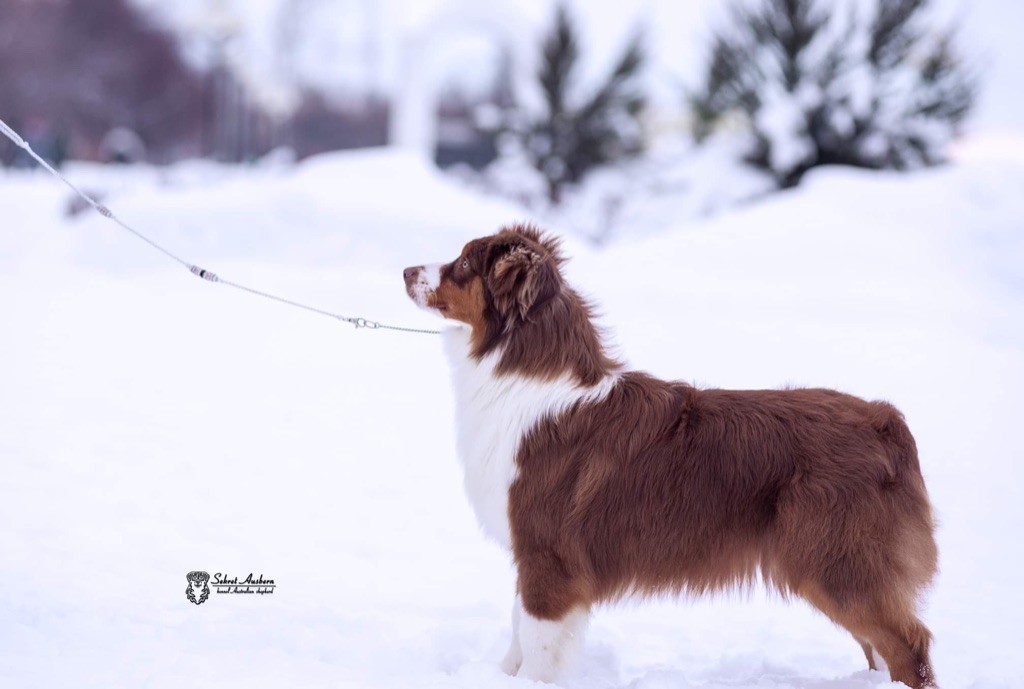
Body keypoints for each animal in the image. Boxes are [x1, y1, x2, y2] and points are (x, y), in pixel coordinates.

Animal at [399, 223, 937, 683]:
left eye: (463, 263)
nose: (404, 271)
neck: (522, 380)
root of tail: (884, 420)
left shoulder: (546, 552)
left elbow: (536, 639)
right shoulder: (535, 551)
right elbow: (517, 628)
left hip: (835, 560)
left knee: (909, 644)